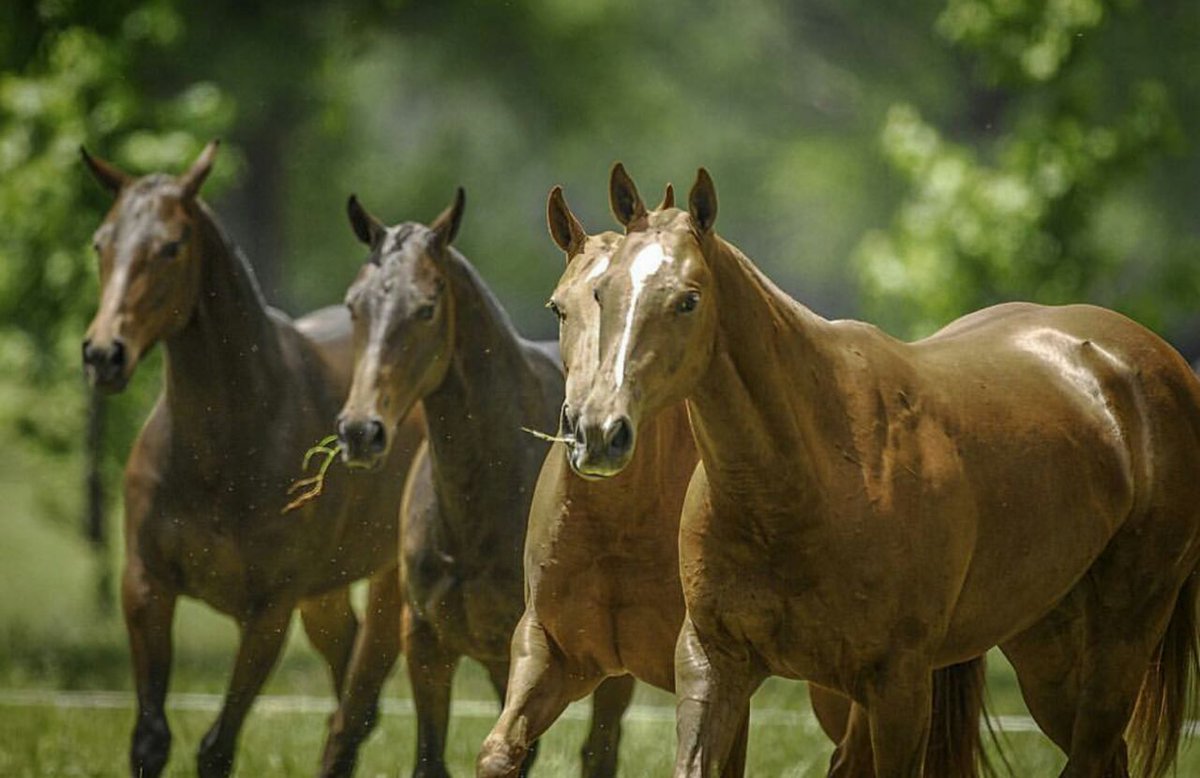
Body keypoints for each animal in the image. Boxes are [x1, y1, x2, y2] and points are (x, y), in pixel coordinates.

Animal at [80, 142, 425, 778]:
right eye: (101, 242)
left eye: (172, 246)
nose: (103, 355)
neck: (225, 447)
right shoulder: (145, 587)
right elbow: (150, 739)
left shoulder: (267, 613)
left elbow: (217, 747)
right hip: (325, 595)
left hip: (388, 585)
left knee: (357, 706)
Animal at [334, 189, 632, 776]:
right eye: (355, 306)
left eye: (426, 308)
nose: (360, 431)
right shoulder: (427, 644)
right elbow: (430, 758)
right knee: (348, 722)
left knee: (601, 747)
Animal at [478, 182, 992, 778]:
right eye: (559, 307)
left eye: (683, 303)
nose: (594, 430)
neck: (618, 528)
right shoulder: (550, 650)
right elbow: (500, 752)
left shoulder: (723, 677)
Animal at [565, 165, 1200, 777]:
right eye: (601, 291)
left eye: (688, 300)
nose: (598, 431)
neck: (809, 480)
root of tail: (1153, 361)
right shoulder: (714, 664)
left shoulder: (898, 686)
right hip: (1044, 643)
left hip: (1124, 632)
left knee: (1095, 749)